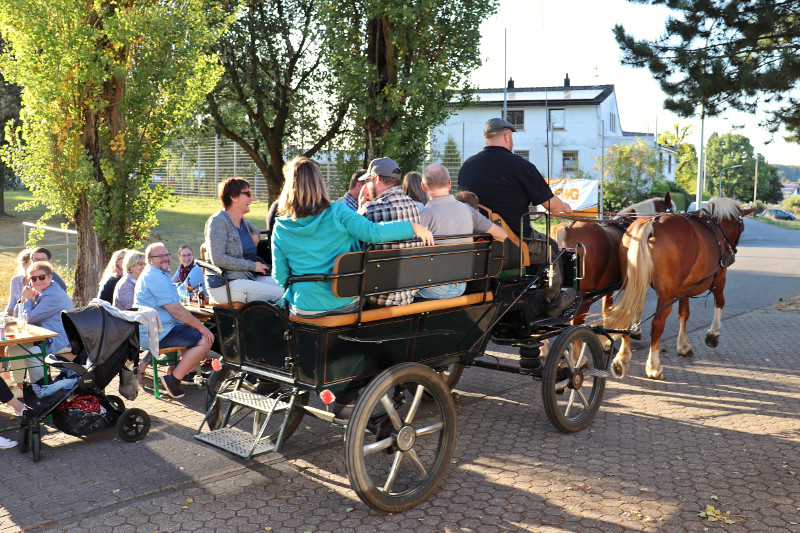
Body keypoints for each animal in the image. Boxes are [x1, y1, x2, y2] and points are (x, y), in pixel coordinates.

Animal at [608, 196, 752, 378]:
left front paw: (683, 346)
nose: (732, 254)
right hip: (666, 295)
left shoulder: (685, 288)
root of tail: (651, 223)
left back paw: (622, 358)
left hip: (632, 286)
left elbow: (684, 314)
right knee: (657, 324)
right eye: (742, 227)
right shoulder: (720, 277)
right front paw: (713, 334)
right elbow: (719, 302)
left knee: (627, 315)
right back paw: (654, 366)